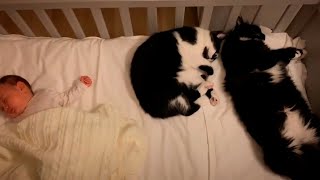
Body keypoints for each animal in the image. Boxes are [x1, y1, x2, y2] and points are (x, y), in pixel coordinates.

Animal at [220, 17, 320, 180]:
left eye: (261, 31)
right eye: (256, 30)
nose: (264, 36)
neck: (238, 41)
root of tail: (302, 141)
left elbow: (285, 55)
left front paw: (301, 51)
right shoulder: (263, 59)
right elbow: (281, 52)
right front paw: (299, 51)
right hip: (280, 157)